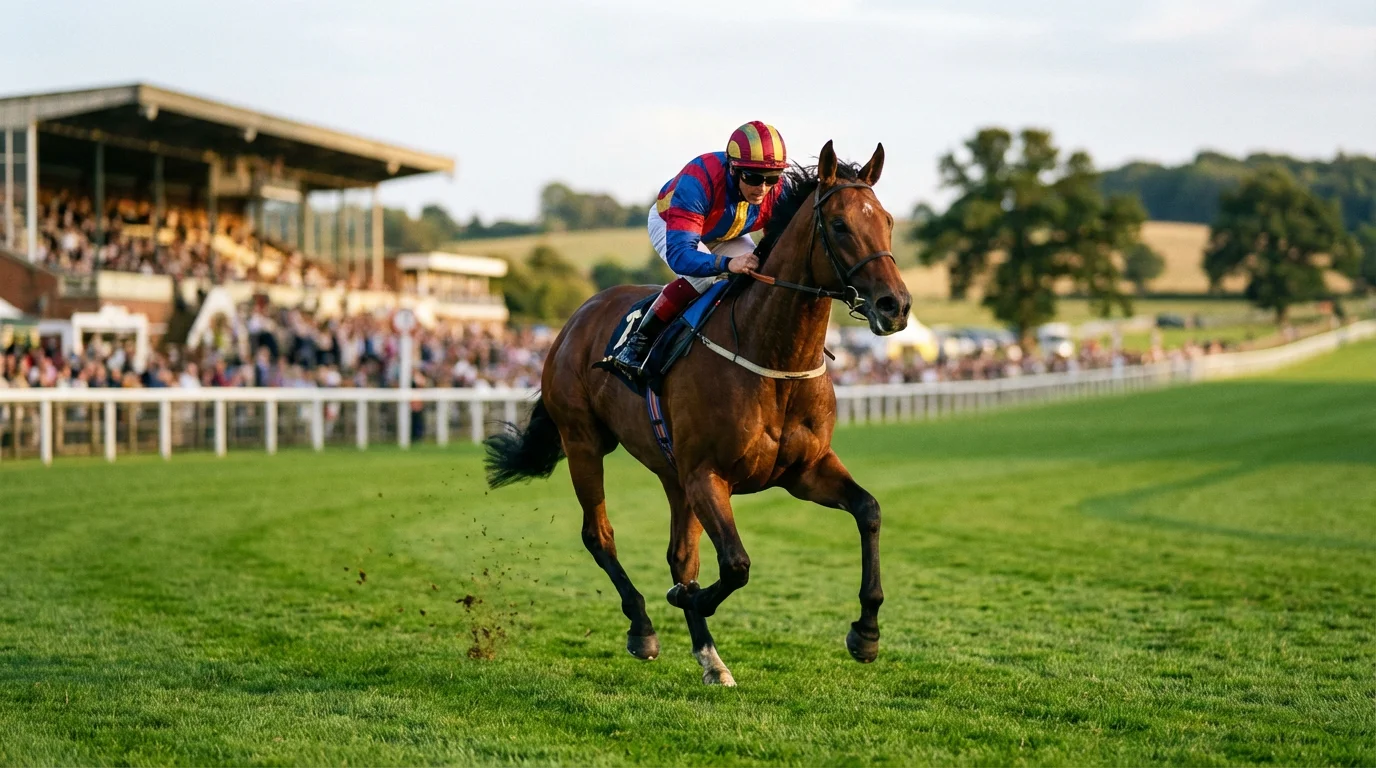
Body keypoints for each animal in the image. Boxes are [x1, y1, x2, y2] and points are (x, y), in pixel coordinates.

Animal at [484, 141, 912, 686]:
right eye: (839, 225)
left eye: (888, 221)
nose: (895, 305)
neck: (773, 358)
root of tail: (575, 319)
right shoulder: (708, 476)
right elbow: (736, 564)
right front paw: (687, 601)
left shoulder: (804, 471)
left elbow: (869, 511)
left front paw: (867, 632)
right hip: (584, 441)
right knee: (600, 535)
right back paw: (643, 628)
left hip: (672, 472)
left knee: (680, 555)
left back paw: (710, 656)